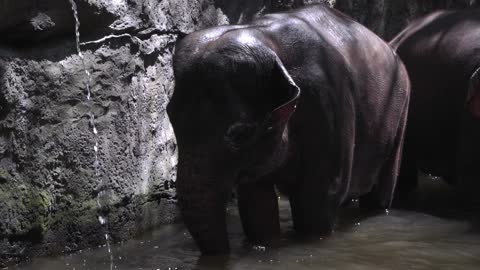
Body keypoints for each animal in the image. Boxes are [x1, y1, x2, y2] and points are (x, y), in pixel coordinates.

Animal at [167, 3, 410, 255]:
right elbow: (257, 203)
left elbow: (317, 199)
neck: (267, 37)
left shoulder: (327, 104)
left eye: (239, 134)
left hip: (401, 107)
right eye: (169, 115)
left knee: (380, 191)